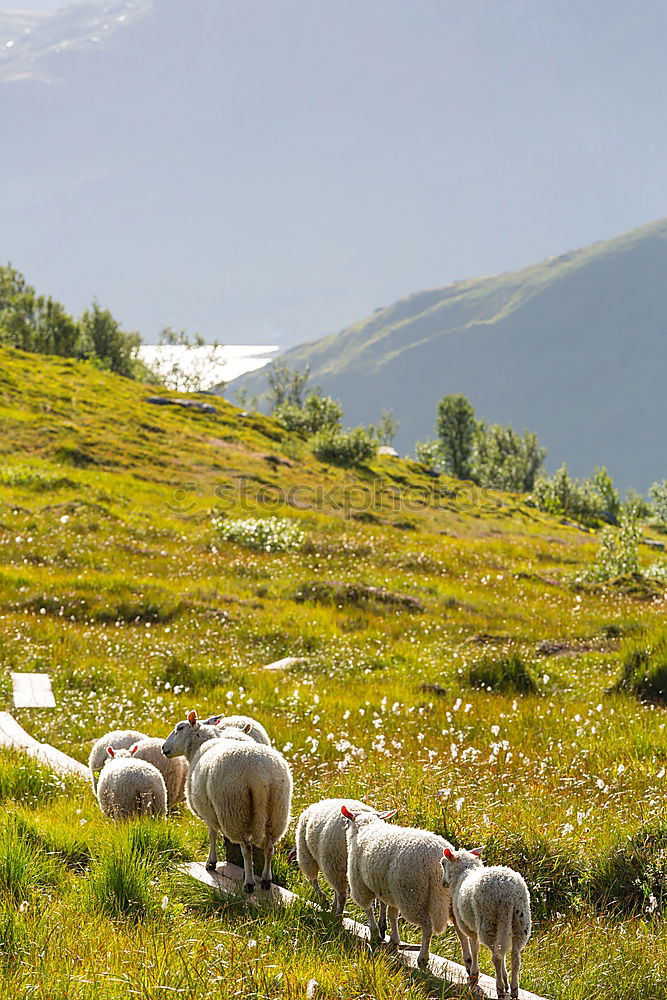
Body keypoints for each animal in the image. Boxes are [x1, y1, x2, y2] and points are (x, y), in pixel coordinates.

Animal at [163, 708, 290, 896]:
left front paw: (211, 862)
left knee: (247, 848)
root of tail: (260, 776)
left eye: (179, 728)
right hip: (277, 809)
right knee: (269, 846)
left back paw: (249, 883)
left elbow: (212, 834)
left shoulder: (209, 810)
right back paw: (266, 879)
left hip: (235, 809)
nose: (163, 748)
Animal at [342, 804, 468, 968]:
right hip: (449, 900)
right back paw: (469, 965)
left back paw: (423, 958)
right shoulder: (391, 891)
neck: (366, 827)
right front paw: (394, 941)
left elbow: (368, 909)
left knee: (427, 927)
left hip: (412, 895)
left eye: (347, 821)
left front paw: (375, 934)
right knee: (461, 932)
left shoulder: (360, 886)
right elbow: (392, 915)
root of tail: (436, 864)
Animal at [440, 844, 536, 1000]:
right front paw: (505, 977)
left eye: (443, 863)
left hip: (488, 921)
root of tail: (506, 893)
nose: (443, 883)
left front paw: (474, 973)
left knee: (496, 957)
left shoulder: (468, 926)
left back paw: (500, 989)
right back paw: (514, 989)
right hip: (521, 921)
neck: (464, 873)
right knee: (514, 957)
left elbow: (474, 947)